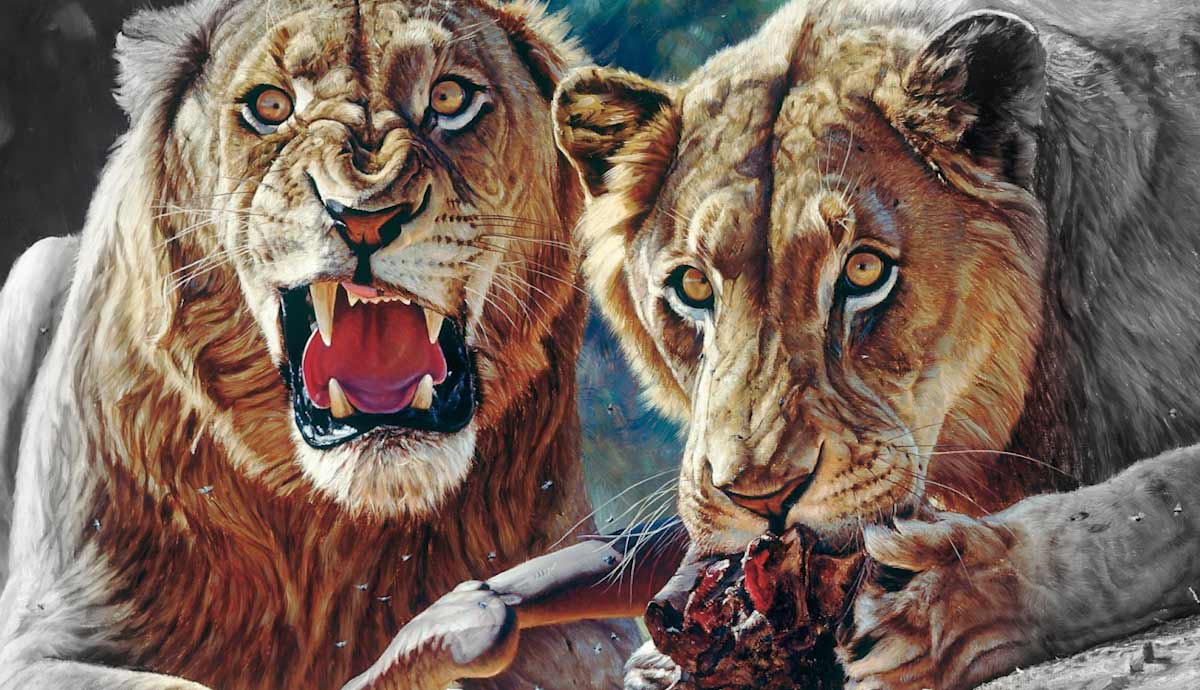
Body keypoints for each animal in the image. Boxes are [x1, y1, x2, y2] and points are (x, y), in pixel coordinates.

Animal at [0, 1, 637, 688]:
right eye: (272, 106)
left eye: (449, 97)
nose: (365, 214)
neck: (333, 529)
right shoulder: (40, 641)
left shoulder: (594, 626)